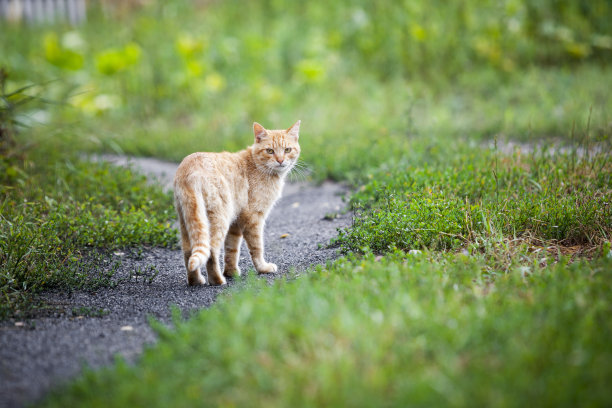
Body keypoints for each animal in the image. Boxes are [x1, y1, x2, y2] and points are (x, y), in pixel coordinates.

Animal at [173, 121, 300, 286]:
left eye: (287, 150)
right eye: (270, 151)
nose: (280, 160)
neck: (257, 166)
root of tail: (190, 169)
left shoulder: (235, 222)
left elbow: (231, 249)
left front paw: (231, 272)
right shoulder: (253, 218)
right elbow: (257, 247)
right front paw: (263, 268)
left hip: (187, 220)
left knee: (189, 251)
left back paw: (196, 281)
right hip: (219, 218)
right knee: (211, 251)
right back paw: (217, 280)